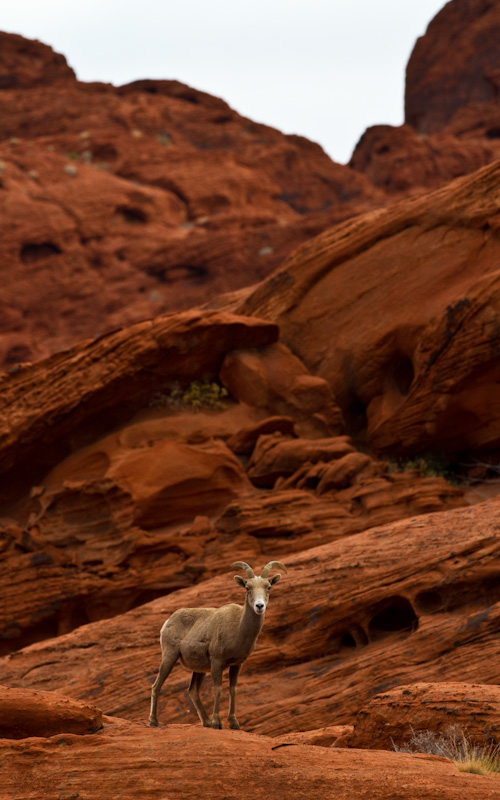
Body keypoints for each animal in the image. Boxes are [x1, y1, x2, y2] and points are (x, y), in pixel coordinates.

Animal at [148, 560, 288, 728]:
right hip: (170, 656)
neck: (238, 628)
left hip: (199, 668)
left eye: (268, 587)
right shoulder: (217, 661)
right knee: (156, 686)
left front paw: (233, 723)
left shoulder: (237, 664)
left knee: (193, 690)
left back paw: (206, 722)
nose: (259, 606)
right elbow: (218, 689)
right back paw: (154, 721)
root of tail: (167, 622)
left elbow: (233, 690)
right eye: (247, 588)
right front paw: (217, 722)